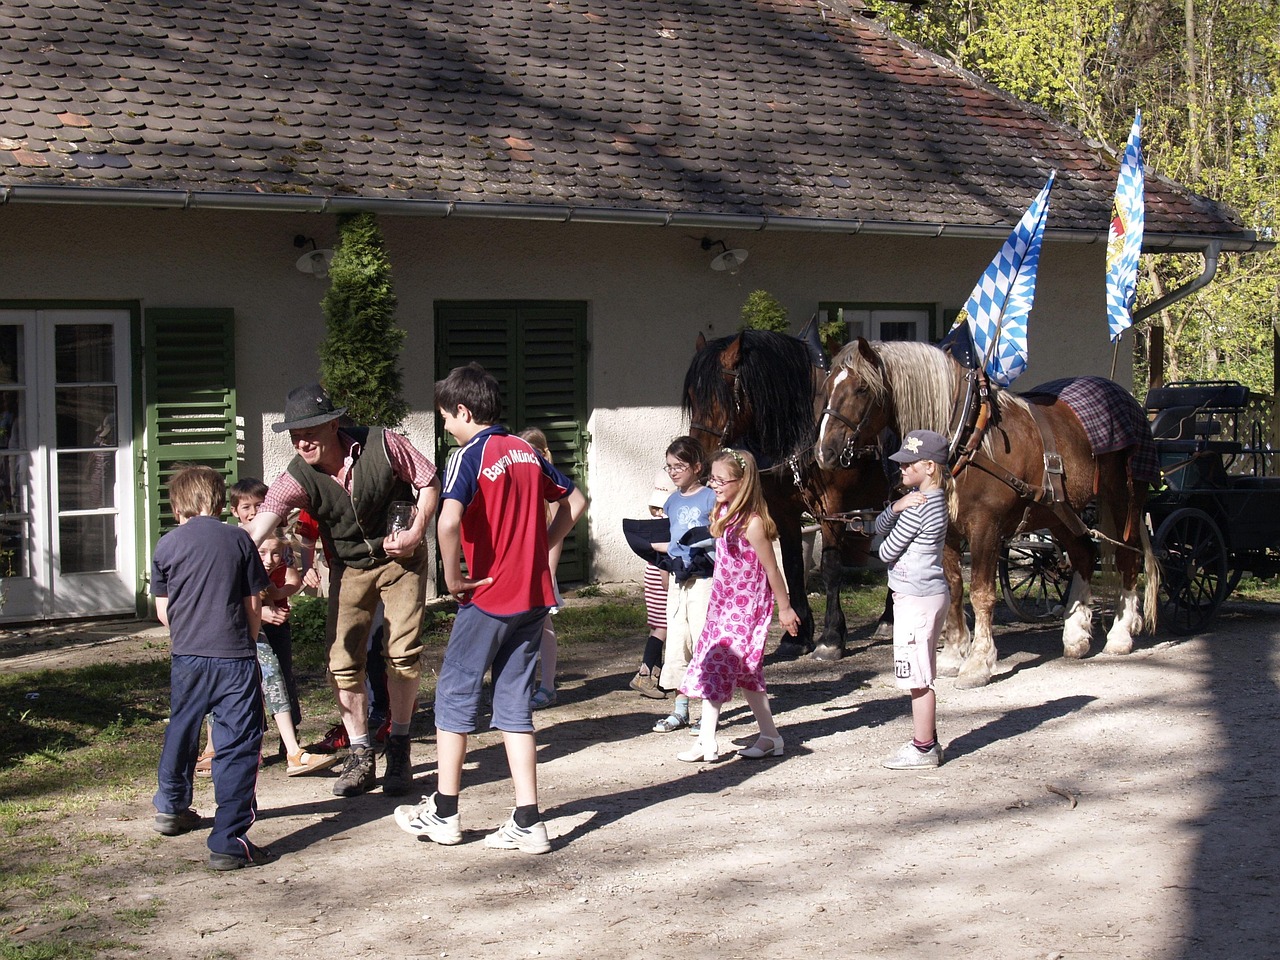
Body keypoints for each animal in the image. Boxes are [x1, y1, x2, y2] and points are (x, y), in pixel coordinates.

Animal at [680, 330, 890, 660]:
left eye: (720, 394)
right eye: (691, 394)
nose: (699, 462)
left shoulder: (832, 508)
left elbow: (831, 567)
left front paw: (831, 637)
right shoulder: (784, 511)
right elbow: (791, 566)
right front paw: (799, 634)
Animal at [819, 343, 1162, 686]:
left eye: (862, 389)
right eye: (827, 387)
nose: (825, 452)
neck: (970, 437)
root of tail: (1127, 399)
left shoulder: (985, 528)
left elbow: (982, 593)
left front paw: (978, 662)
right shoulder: (948, 531)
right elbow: (955, 588)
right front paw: (952, 655)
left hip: (1123, 498)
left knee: (1127, 557)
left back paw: (1120, 634)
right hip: (1060, 511)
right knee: (1084, 555)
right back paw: (1075, 635)